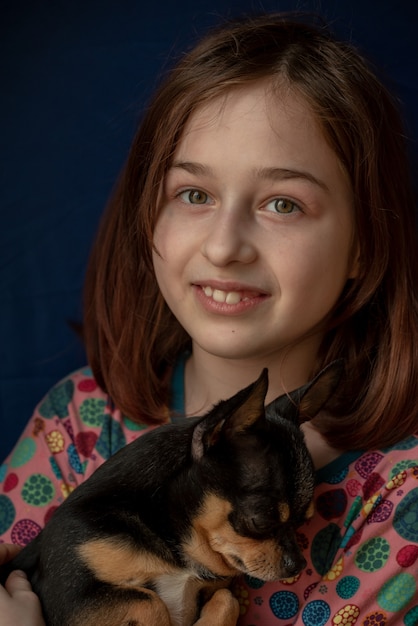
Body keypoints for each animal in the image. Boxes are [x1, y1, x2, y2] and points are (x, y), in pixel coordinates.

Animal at [0, 360, 342, 624]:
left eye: (303, 522)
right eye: (260, 520)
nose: (297, 565)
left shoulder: (214, 590)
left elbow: (226, 599)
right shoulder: (69, 596)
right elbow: (148, 601)